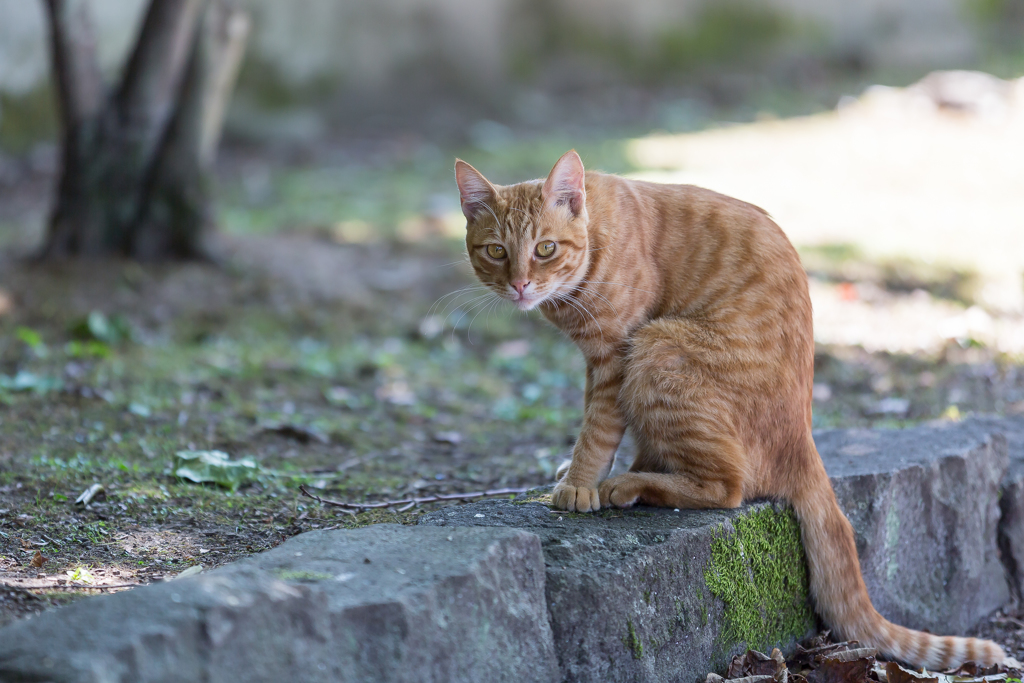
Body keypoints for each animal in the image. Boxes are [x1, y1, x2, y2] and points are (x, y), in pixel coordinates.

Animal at [454, 149, 999, 667]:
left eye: (545, 249)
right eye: (497, 251)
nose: (520, 285)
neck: (595, 242)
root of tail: (804, 439)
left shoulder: (615, 356)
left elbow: (598, 430)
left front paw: (579, 484)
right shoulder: (598, 364)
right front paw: (575, 473)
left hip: (657, 348)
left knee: (728, 487)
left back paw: (629, 485)